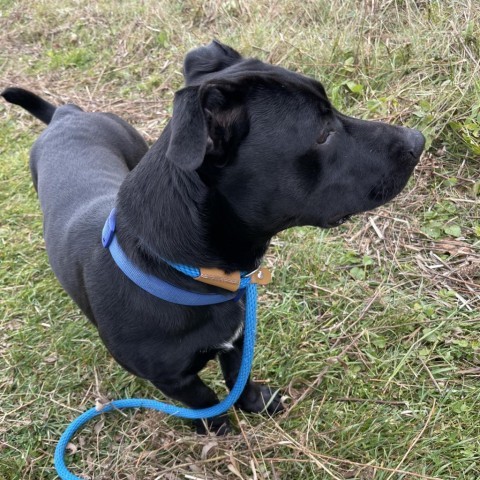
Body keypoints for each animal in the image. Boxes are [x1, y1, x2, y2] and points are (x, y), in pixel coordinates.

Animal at [2, 41, 424, 434]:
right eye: (324, 134)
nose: (417, 139)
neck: (176, 270)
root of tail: (64, 116)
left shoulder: (237, 339)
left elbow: (240, 376)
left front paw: (254, 405)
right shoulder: (172, 379)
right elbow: (204, 398)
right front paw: (215, 425)